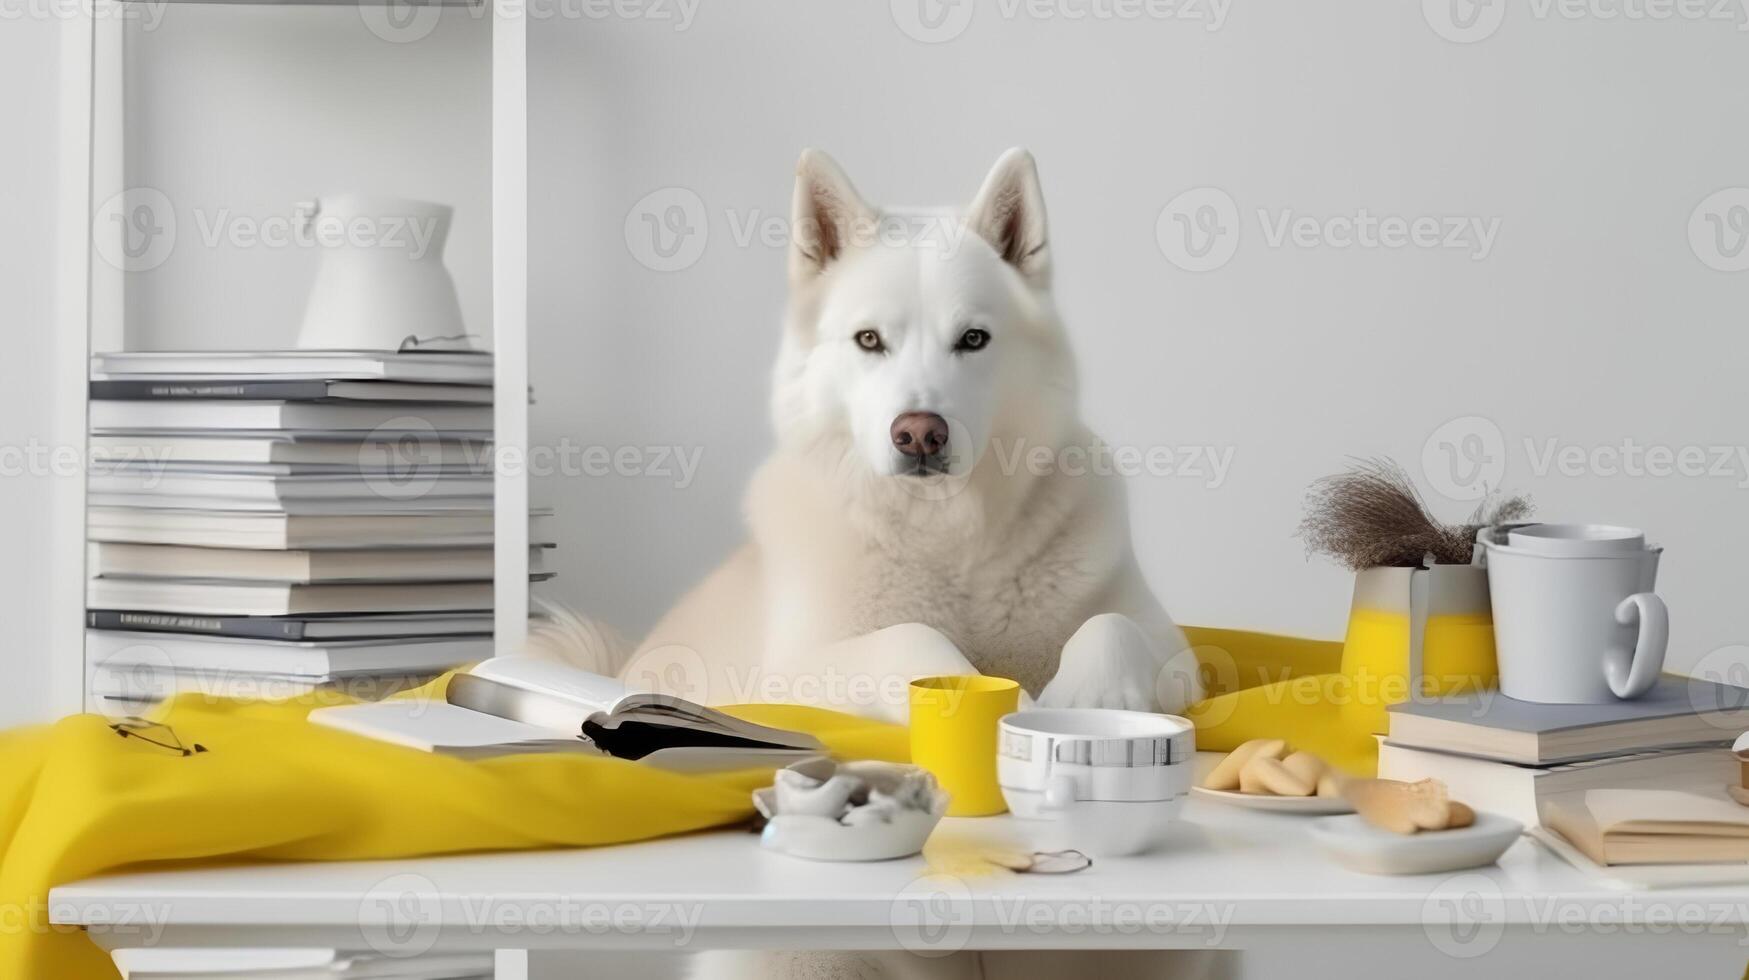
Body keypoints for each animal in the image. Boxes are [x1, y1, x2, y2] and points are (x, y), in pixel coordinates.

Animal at [608, 145, 1210, 728]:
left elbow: (1112, 624)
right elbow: (908, 637)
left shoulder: (1172, 643)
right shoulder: (791, 666)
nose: (920, 434)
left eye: (973, 339)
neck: (947, 535)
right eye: (869, 340)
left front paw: (1096, 696)